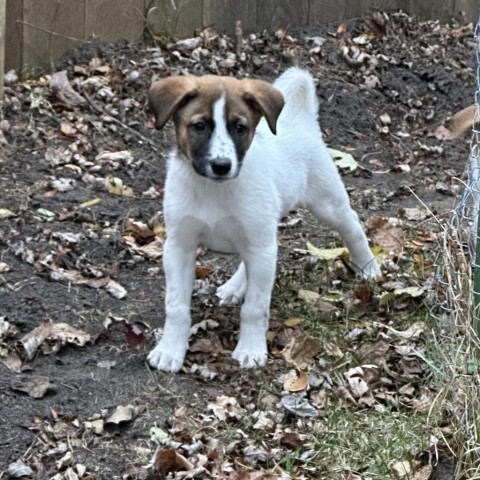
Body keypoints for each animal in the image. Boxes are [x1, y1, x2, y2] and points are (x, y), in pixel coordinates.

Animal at [148, 68, 380, 376]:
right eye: (199, 126)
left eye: (240, 127)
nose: (221, 166)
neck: (214, 191)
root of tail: (302, 121)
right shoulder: (179, 247)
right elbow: (175, 306)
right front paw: (170, 350)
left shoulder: (259, 245)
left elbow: (255, 308)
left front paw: (250, 349)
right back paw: (234, 287)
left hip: (326, 204)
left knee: (352, 226)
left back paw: (368, 266)